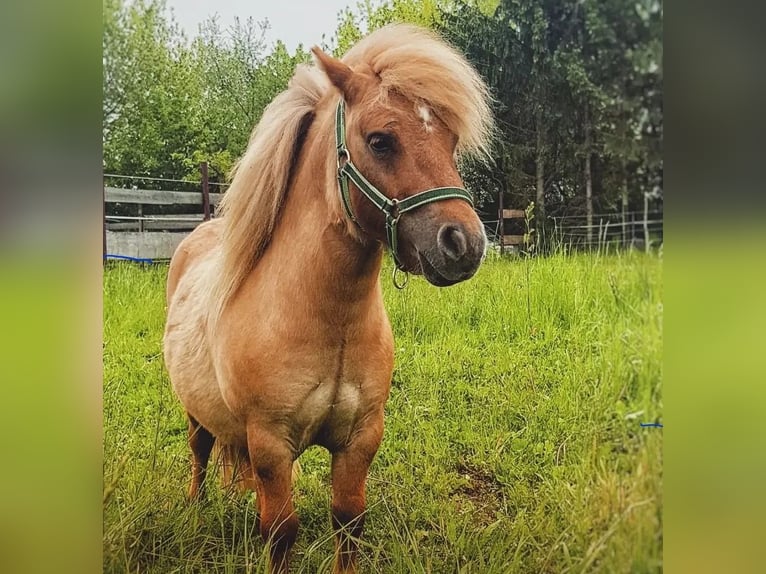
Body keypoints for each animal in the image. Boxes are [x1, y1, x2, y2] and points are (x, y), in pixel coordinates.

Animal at [163, 24, 493, 573]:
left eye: (449, 140)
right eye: (380, 141)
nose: (463, 244)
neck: (325, 320)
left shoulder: (360, 439)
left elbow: (348, 521)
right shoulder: (269, 444)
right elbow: (280, 533)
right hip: (195, 411)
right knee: (199, 449)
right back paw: (193, 507)